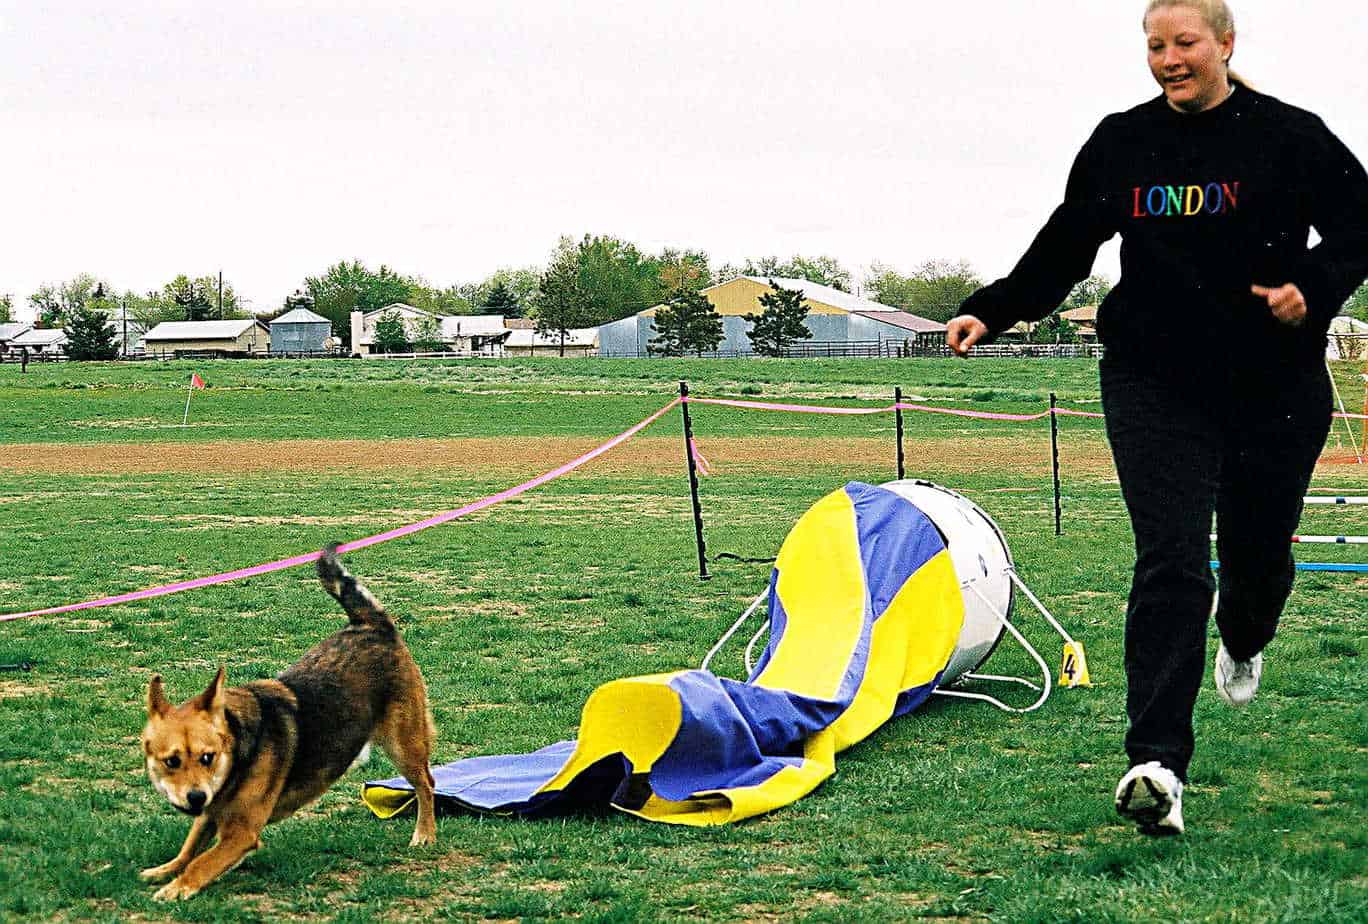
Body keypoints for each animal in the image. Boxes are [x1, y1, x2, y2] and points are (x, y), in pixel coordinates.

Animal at [136, 544, 435, 897]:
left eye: (207, 757)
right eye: (171, 762)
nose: (195, 797)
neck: (239, 753)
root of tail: (370, 624)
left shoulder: (242, 833)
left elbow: (201, 862)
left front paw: (179, 887)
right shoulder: (210, 814)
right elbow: (189, 848)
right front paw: (165, 870)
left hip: (404, 745)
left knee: (426, 785)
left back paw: (425, 834)